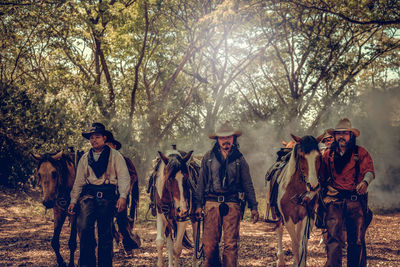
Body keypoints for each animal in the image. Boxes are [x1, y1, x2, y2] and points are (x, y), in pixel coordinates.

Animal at [268, 135, 322, 266]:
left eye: (318, 156)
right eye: (301, 156)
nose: (313, 185)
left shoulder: (307, 216)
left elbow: (302, 245)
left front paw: (300, 262)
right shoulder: (287, 218)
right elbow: (295, 245)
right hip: (277, 214)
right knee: (279, 229)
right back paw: (280, 260)